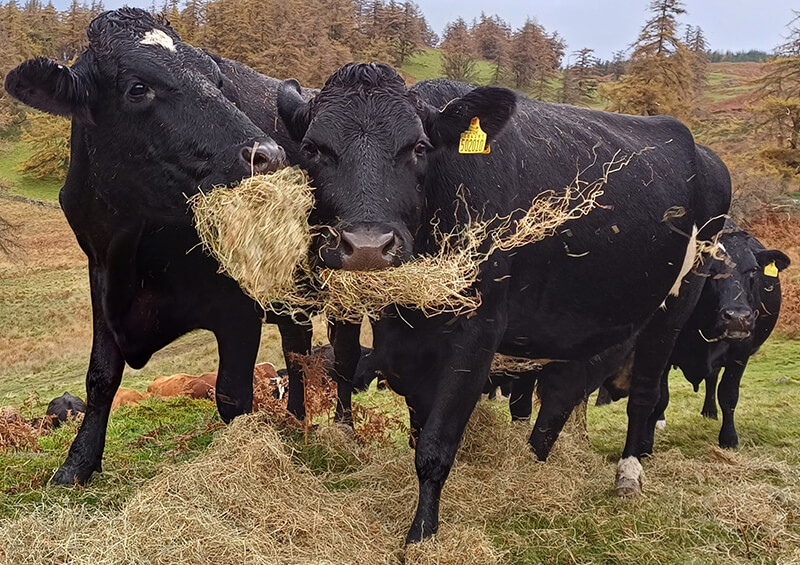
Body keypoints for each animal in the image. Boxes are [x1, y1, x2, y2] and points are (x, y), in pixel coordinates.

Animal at [3, 7, 328, 484]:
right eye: (137, 88)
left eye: (216, 79)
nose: (268, 155)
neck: (132, 238)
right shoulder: (100, 274)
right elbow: (100, 377)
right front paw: (77, 464)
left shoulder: (238, 307)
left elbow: (232, 396)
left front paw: (238, 463)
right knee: (297, 345)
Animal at [276, 62, 732, 540]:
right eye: (312, 148)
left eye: (419, 147)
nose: (366, 247)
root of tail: (700, 150)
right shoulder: (406, 345)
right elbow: (420, 428)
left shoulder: (479, 330)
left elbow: (436, 444)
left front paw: (421, 534)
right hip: (600, 318)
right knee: (565, 392)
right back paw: (533, 465)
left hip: (677, 302)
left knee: (643, 391)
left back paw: (628, 474)